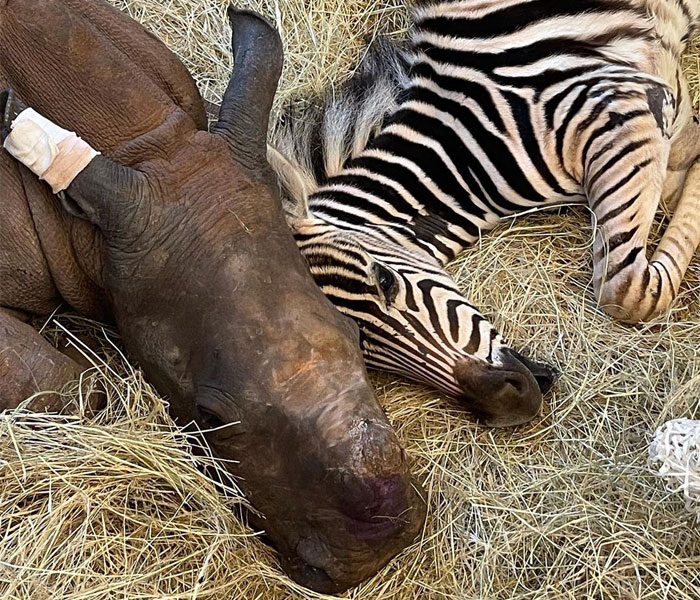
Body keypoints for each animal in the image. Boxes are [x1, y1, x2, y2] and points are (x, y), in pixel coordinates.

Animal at [266, 0, 700, 426]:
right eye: (362, 351)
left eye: (386, 282)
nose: (511, 403)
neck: (461, 152)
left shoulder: (619, 101)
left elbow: (626, 292)